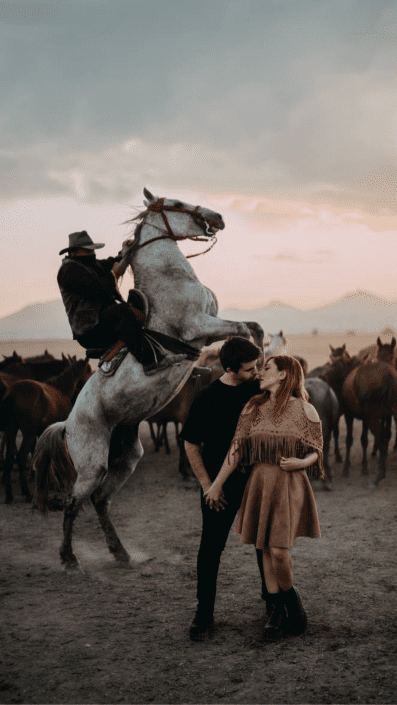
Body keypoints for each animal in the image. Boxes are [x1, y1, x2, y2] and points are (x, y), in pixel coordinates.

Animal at [1, 358, 92, 500]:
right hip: (28, 434)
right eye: (88, 370)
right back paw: (26, 492)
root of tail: (13, 392)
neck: (61, 389)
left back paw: (9, 495)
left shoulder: (42, 432)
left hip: (11, 430)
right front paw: (59, 481)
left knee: (10, 458)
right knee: (21, 457)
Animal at [32, 184, 264, 568]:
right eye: (178, 203)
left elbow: (253, 328)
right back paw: (69, 558)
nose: (217, 217)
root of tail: (67, 424)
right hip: (92, 465)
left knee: (100, 500)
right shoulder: (200, 327)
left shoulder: (210, 328)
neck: (172, 278)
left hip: (126, 457)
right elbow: (246, 330)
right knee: (73, 503)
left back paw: (121, 553)